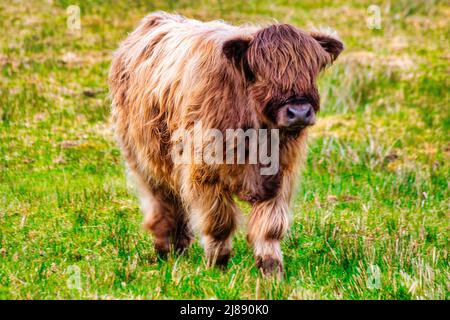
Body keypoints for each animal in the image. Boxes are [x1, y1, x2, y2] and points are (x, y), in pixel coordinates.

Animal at [109, 11, 342, 278]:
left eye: (311, 70)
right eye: (261, 72)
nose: (300, 112)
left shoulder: (280, 176)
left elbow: (271, 227)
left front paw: (271, 270)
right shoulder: (205, 173)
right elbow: (219, 222)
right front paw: (217, 266)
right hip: (145, 159)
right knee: (164, 203)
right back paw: (167, 252)